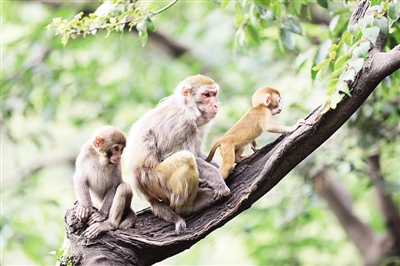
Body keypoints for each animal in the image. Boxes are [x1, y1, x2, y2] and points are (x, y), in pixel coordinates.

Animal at [125, 74, 231, 234]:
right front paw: (217, 179)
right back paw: (187, 208)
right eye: (206, 95)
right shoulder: (180, 124)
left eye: (214, 94)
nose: (215, 105)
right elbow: (173, 155)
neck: (188, 107)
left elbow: (197, 153)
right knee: (186, 158)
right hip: (155, 180)